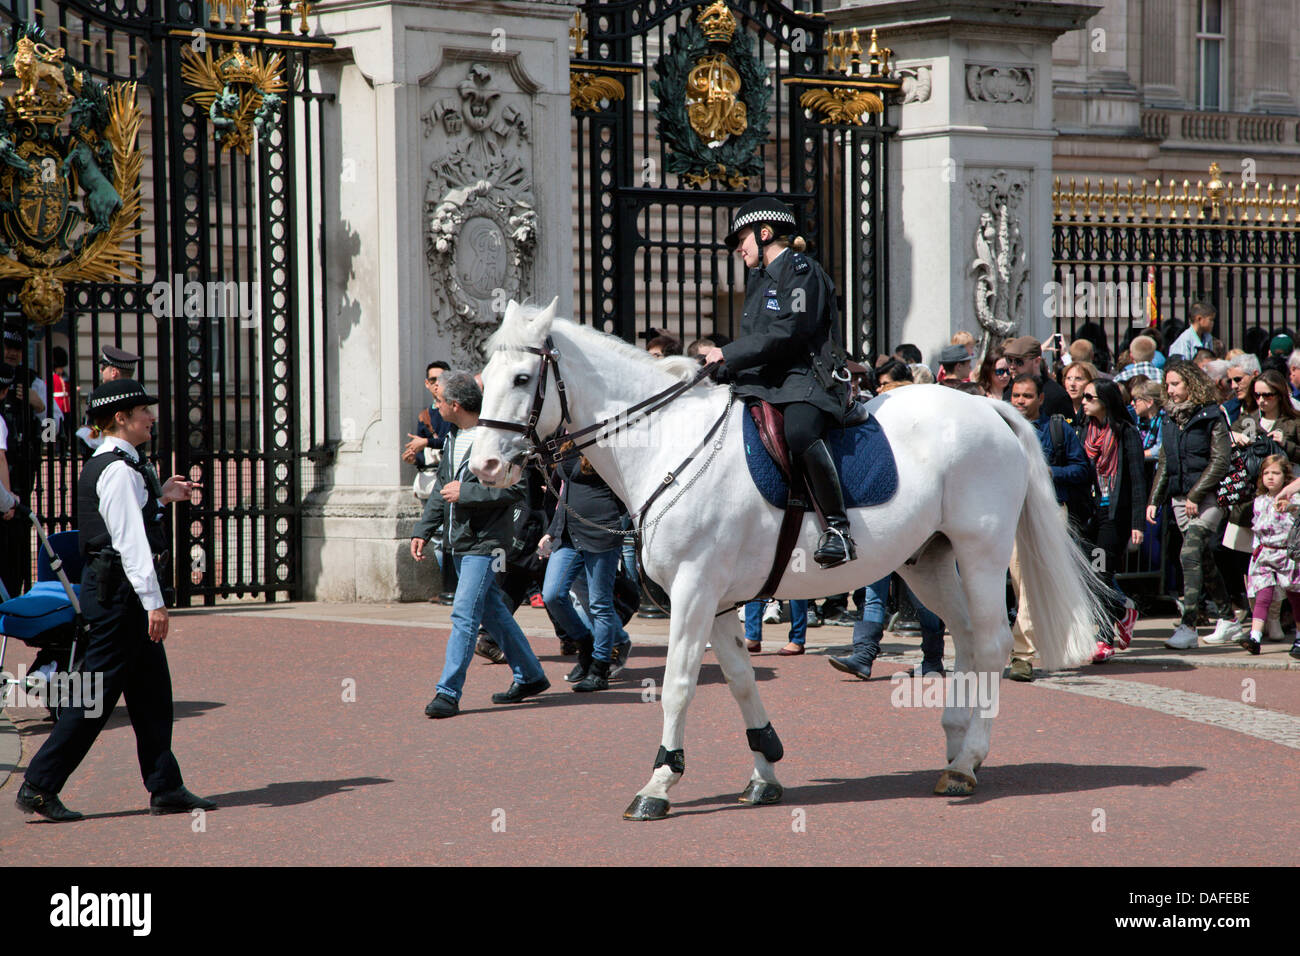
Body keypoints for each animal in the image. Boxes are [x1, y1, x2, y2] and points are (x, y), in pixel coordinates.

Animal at [467, 300, 1107, 822]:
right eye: (483, 378)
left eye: (523, 378)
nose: (483, 467)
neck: (668, 440)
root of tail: (990, 408)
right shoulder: (718, 600)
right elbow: (741, 680)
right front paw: (765, 770)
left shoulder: (693, 590)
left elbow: (679, 684)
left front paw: (660, 783)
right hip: (926, 561)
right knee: (969, 640)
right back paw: (954, 748)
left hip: (980, 551)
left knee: (994, 643)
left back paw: (969, 759)